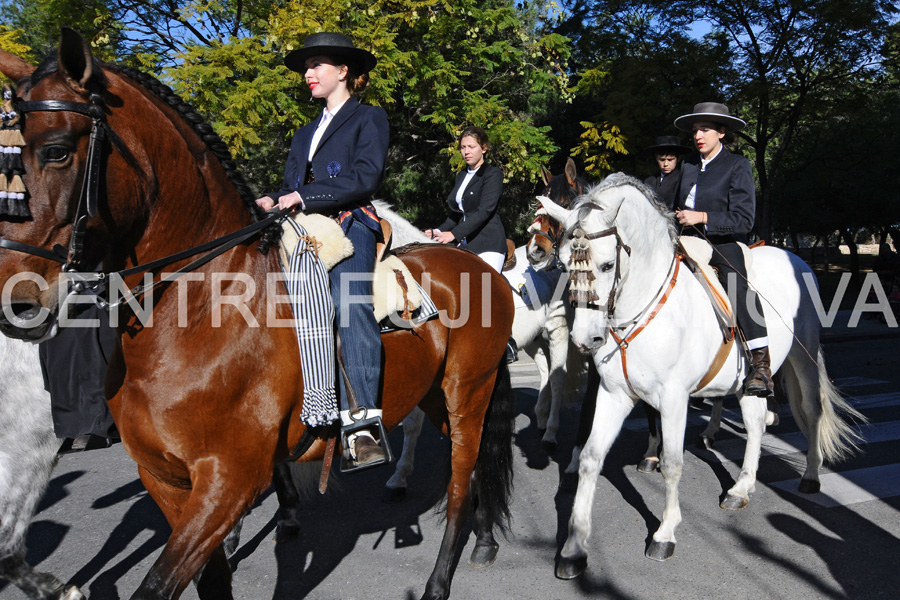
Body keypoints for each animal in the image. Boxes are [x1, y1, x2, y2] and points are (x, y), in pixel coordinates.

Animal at [0, 29, 512, 600]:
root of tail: (475, 263)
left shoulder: (228, 481)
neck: (199, 311)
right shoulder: (167, 479)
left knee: (461, 482)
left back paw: (438, 581)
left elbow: (156, 584)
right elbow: (210, 579)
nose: (15, 302)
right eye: (11, 156)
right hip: (438, 395)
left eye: (56, 151)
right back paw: (484, 541)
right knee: (475, 469)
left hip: (468, 394)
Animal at [540, 172, 864, 576]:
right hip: (747, 383)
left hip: (803, 358)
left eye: (606, 266)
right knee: (755, 423)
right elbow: (590, 458)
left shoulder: (673, 398)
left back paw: (810, 476)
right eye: (565, 265)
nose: (586, 338)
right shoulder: (614, 394)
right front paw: (574, 546)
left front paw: (664, 533)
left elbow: (672, 464)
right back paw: (741, 487)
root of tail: (794, 257)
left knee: (813, 412)